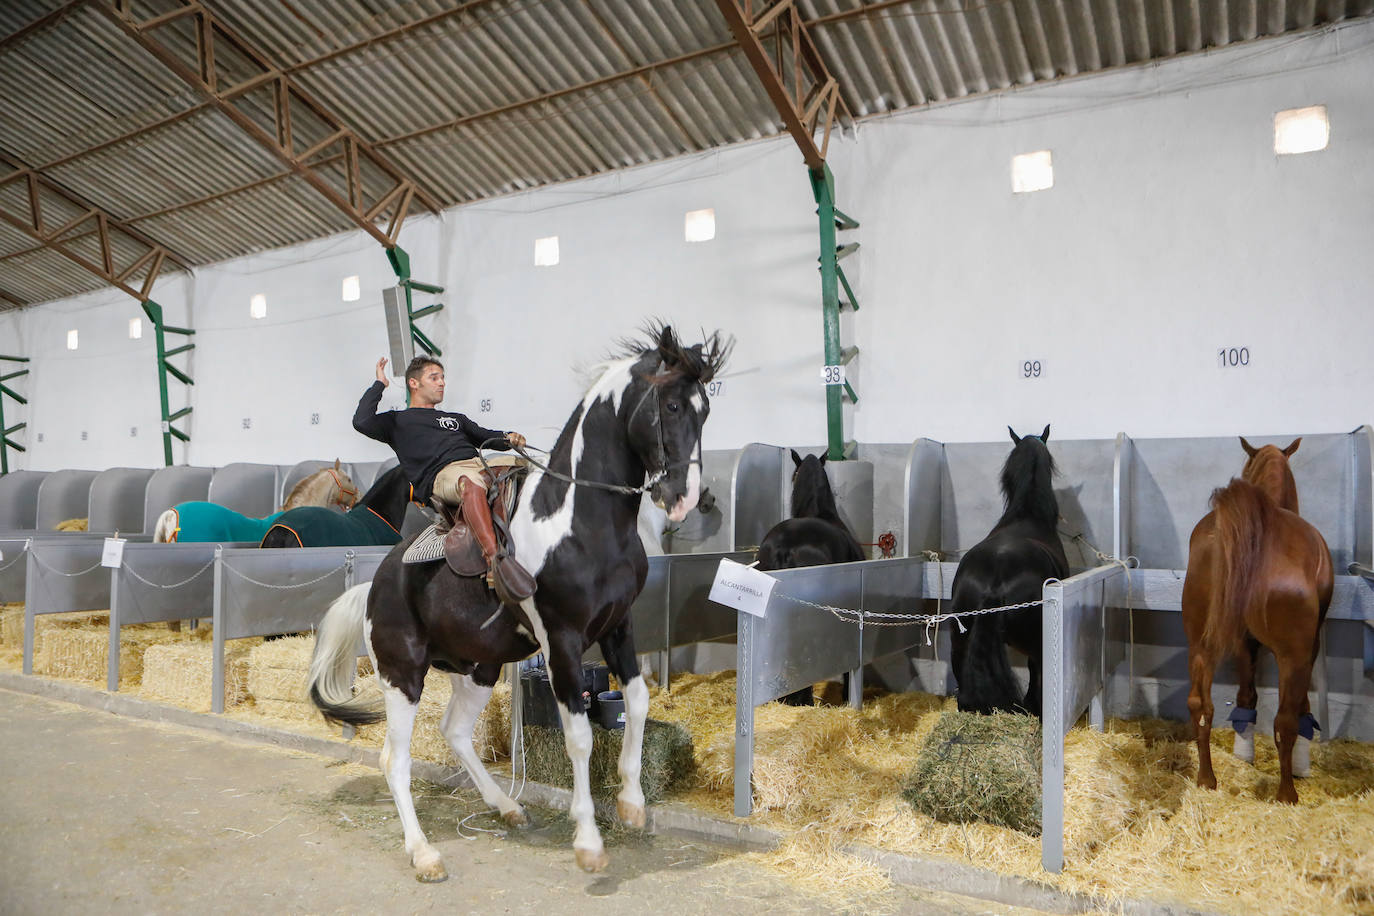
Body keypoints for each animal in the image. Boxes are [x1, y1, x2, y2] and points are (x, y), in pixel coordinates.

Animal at [305, 324, 728, 880]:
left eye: (706, 409)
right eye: (673, 406)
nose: (684, 498)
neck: (578, 521)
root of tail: (374, 587)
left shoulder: (620, 626)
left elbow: (637, 702)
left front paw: (633, 804)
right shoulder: (561, 640)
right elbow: (579, 737)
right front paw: (588, 841)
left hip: (478, 669)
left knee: (455, 732)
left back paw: (507, 806)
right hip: (403, 677)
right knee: (394, 762)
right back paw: (424, 854)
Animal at [1181, 437, 1333, 804]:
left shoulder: (1245, 642)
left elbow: (1246, 696)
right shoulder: (1309, 645)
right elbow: (1301, 707)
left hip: (1200, 643)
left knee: (1200, 705)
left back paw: (1207, 779)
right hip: (1292, 655)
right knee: (1285, 720)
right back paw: (1287, 794)